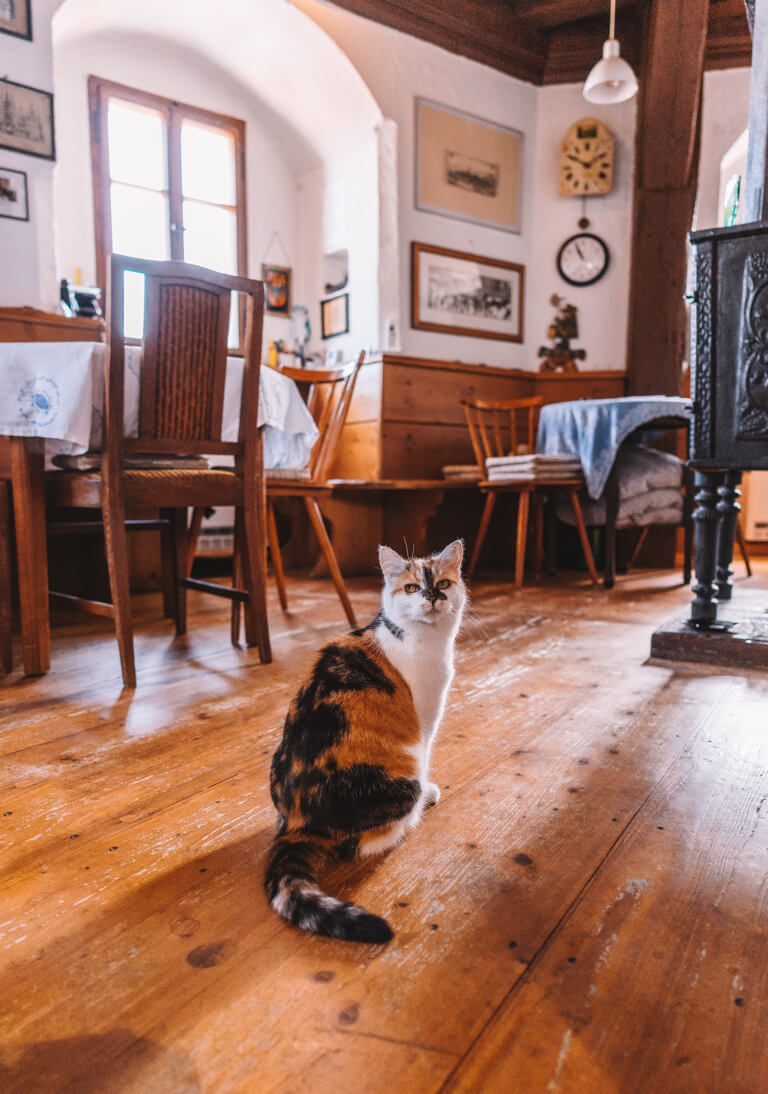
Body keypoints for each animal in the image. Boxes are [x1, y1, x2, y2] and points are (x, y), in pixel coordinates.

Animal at [268, 538, 466, 940]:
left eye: (443, 583)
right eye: (411, 588)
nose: (432, 597)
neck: (423, 640)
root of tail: (297, 823)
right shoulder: (425, 723)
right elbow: (426, 756)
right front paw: (431, 790)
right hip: (399, 784)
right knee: (359, 845)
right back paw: (418, 809)